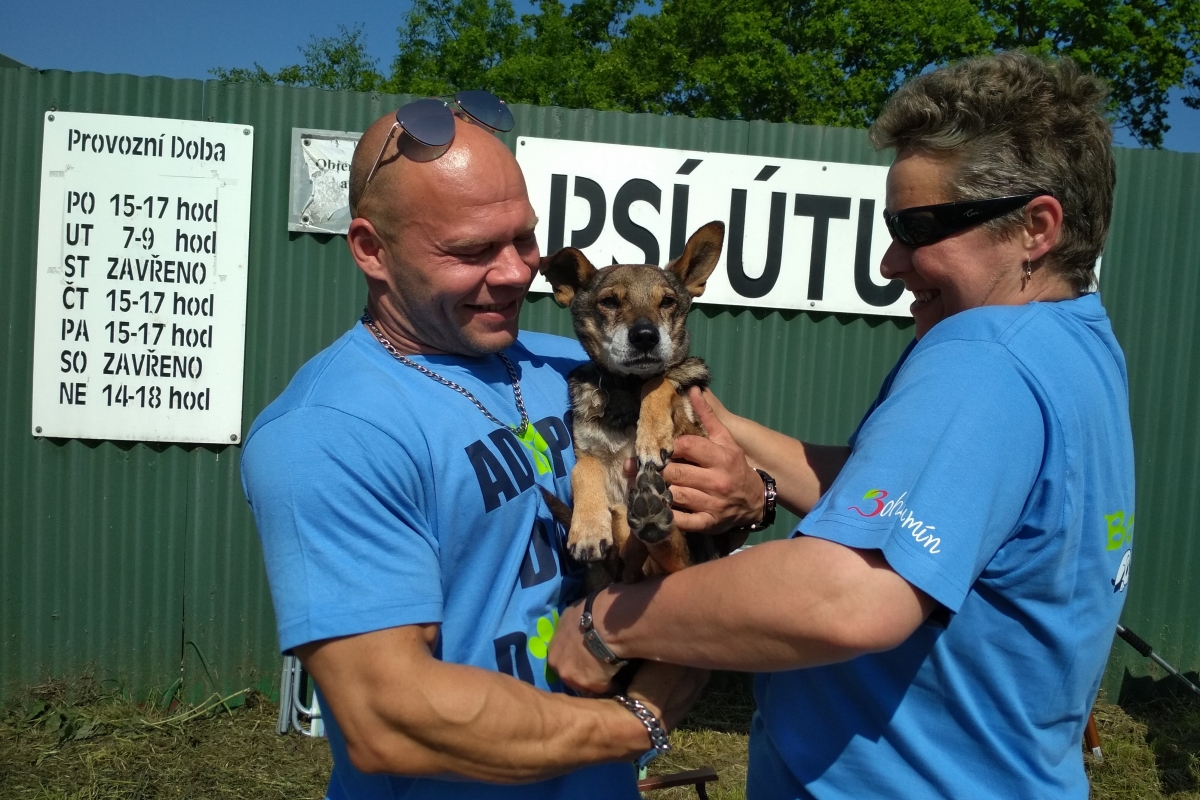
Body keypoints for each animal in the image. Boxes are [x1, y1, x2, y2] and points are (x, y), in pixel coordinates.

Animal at [540, 221, 734, 585]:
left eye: (668, 301)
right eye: (609, 301)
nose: (645, 336)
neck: (627, 391)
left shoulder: (696, 436)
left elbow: (659, 381)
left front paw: (652, 437)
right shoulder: (586, 450)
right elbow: (582, 469)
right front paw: (588, 529)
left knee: (675, 563)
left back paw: (654, 520)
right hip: (621, 536)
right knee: (636, 560)